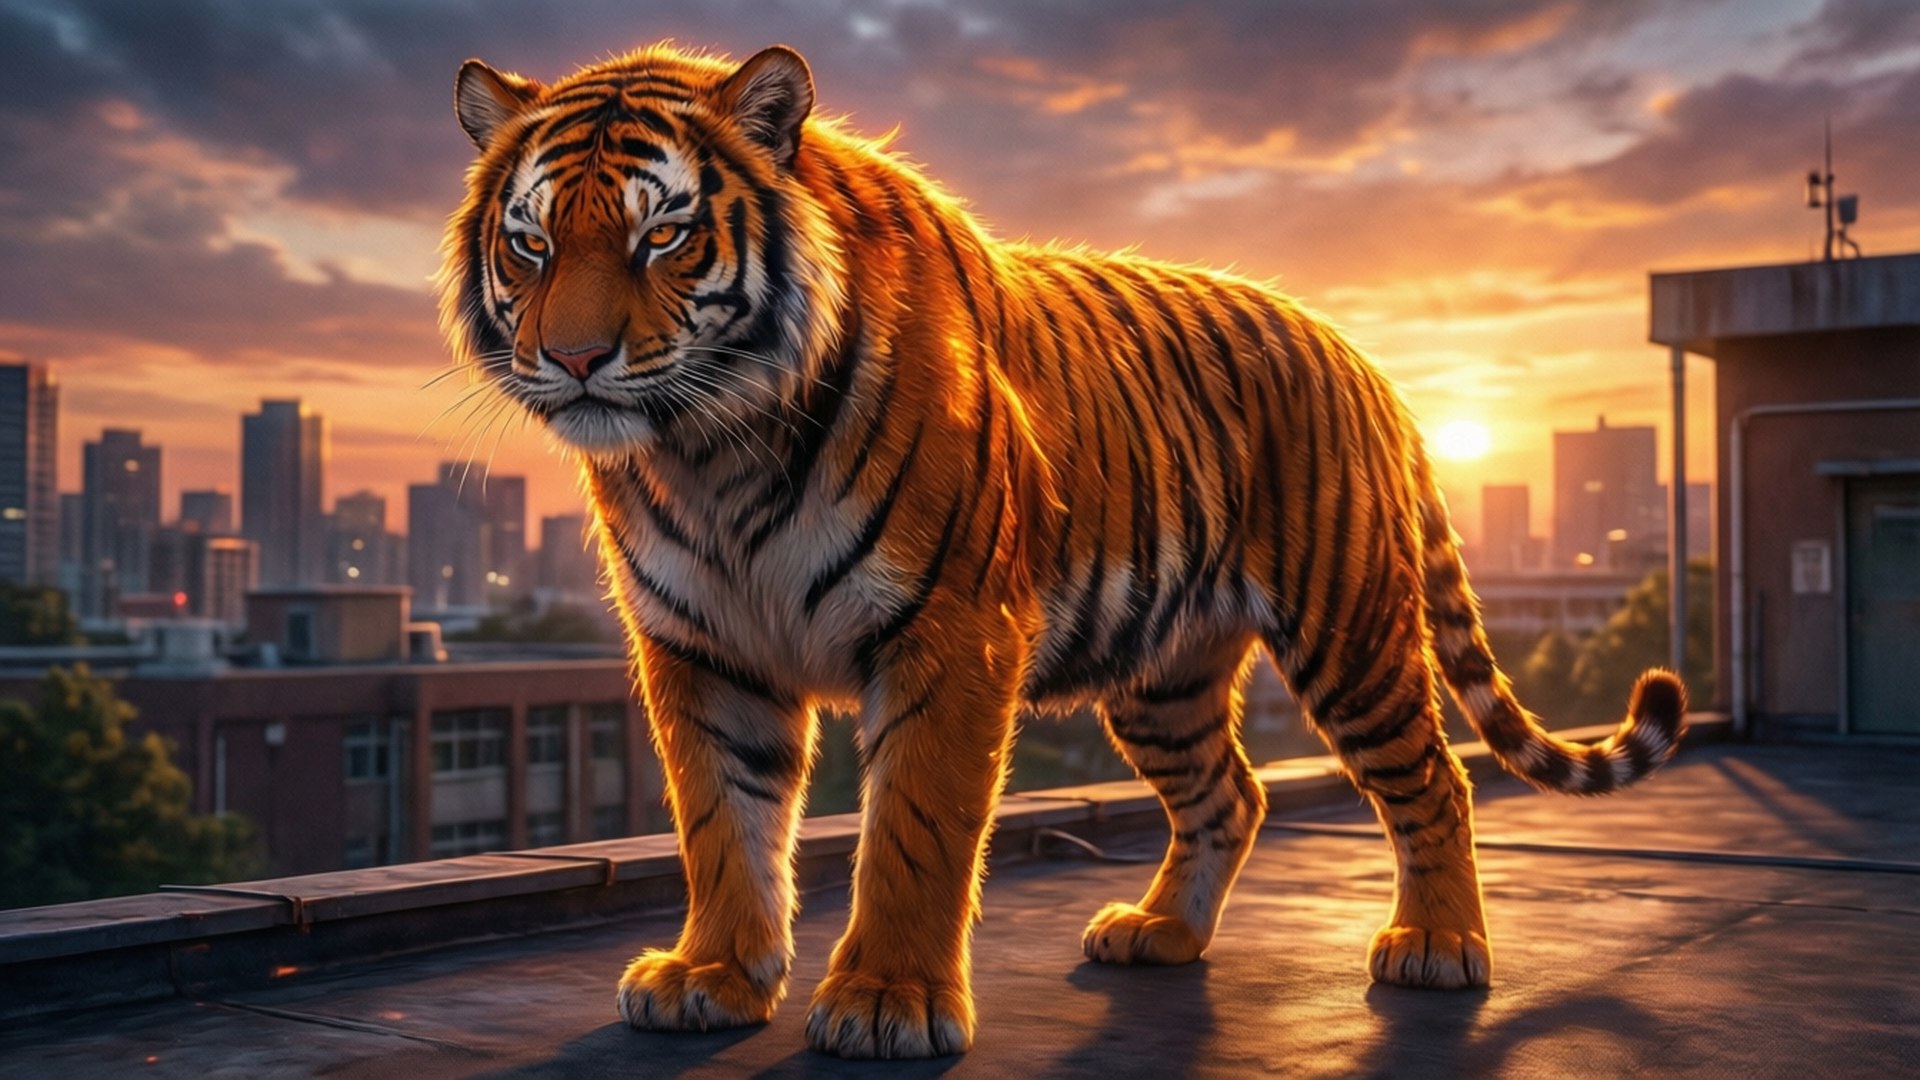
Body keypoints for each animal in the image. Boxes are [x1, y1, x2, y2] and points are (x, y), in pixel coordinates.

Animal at [440, 42, 1686, 1060]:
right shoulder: (702, 648)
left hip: (1352, 634)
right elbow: (721, 820)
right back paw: (1162, 931)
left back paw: (1437, 944)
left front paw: (889, 1003)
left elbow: (915, 826)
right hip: (1163, 678)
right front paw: (713, 977)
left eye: (663, 234)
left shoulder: (949, 629)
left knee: (1435, 780)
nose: (576, 360)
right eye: (532, 242)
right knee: (1232, 795)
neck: (712, 449)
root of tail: (1358, 351)